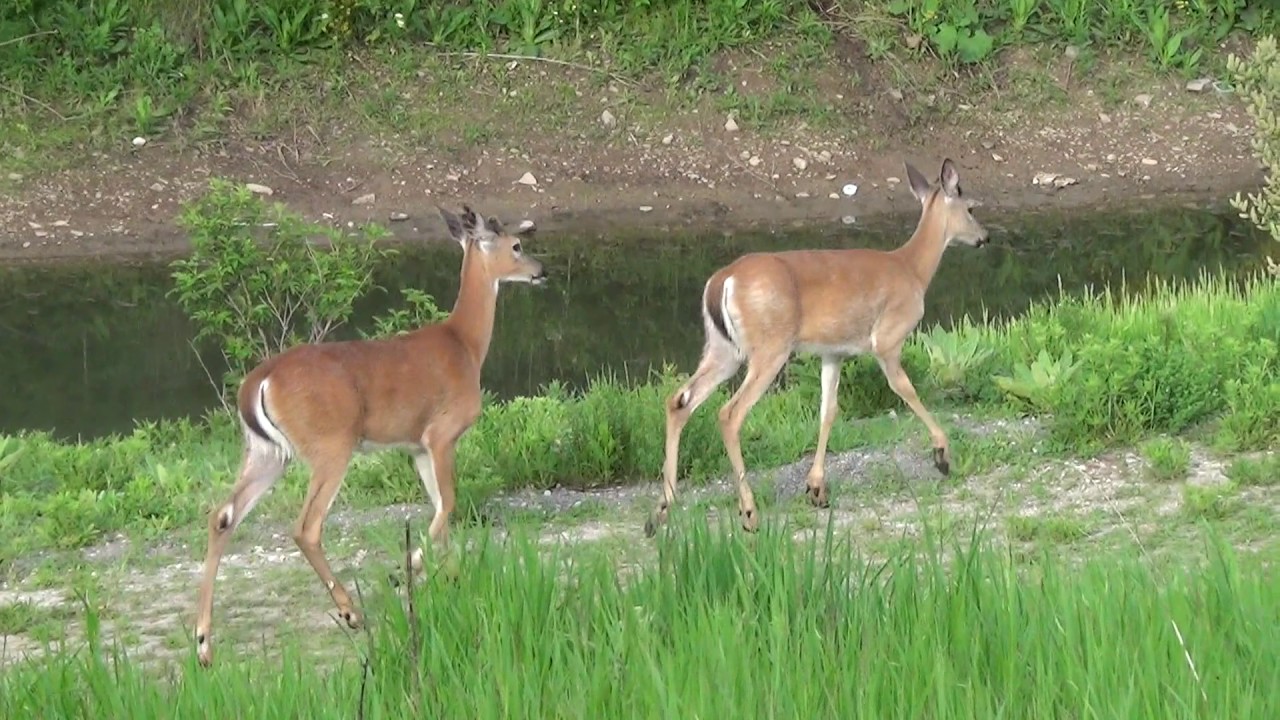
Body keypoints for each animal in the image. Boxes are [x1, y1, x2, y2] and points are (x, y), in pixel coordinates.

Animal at [193, 204, 546, 667]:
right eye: (517, 245)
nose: (541, 270)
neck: (465, 345)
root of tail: (258, 382)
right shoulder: (441, 433)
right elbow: (450, 503)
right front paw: (407, 569)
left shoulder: (417, 447)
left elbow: (440, 508)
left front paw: (449, 576)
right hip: (331, 444)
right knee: (306, 526)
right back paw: (351, 613)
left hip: (267, 452)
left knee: (222, 515)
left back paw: (203, 643)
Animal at [646, 158, 989, 537]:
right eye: (971, 208)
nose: (984, 237)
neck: (912, 270)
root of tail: (723, 280)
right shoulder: (888, 337)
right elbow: (905, 389)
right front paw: (942, 454)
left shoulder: (833, 352)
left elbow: (828, 411)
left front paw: (816, 488)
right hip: (770, 346)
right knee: (730, 413)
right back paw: (748, 512)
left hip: (723, 349)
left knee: (679, 400)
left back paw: (661, 510)